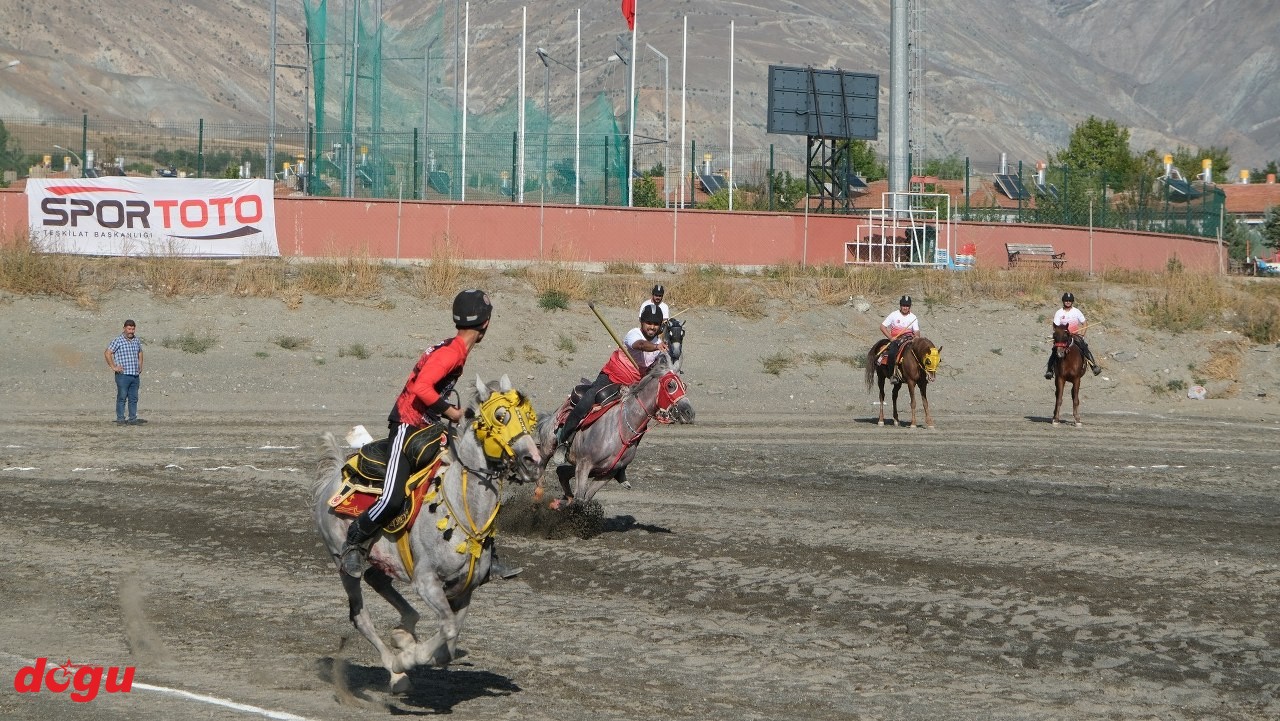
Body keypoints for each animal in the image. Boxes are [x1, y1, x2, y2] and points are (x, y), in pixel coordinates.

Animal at [320, 376, 545, 691]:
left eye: (529, 416)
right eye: (501, 416)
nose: (533, 460)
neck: (464, 509)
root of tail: (333, 478)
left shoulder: (464, 591)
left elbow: (451, 641)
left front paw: (408, 643)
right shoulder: (427, 583)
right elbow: (448, 629)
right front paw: (407, 657)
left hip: (385, 559)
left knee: (377, 580)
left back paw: (404, 632)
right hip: (341, 562)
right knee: (359, 614)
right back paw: (396, 672)